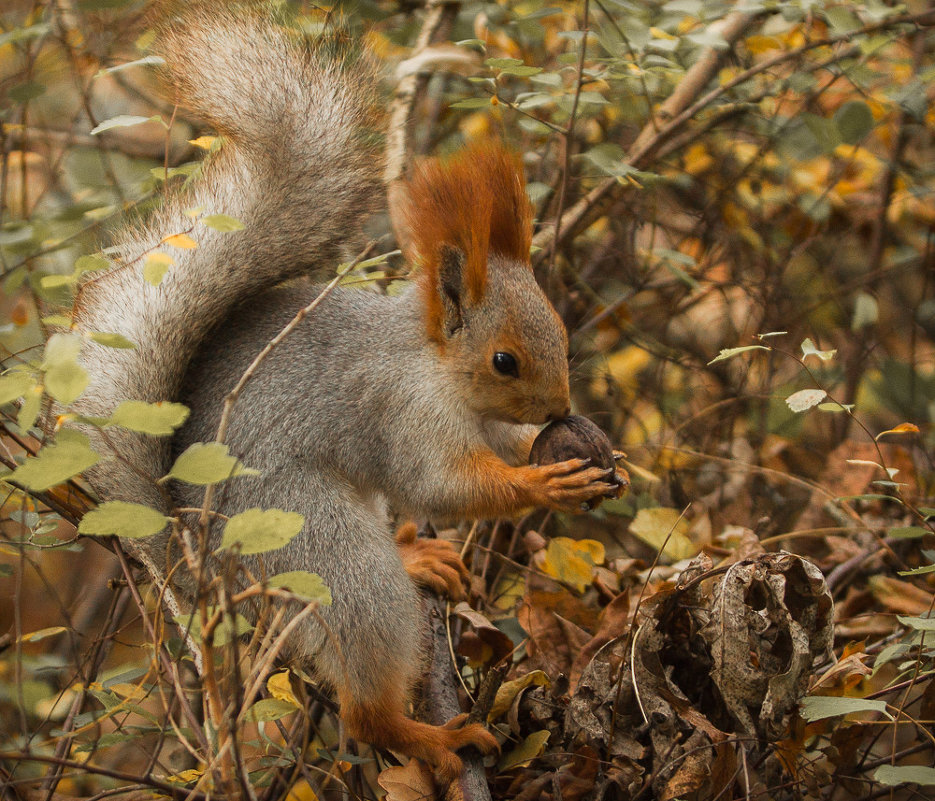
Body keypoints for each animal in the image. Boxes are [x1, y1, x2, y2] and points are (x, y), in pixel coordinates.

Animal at [71, 1, 620, 788]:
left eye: (562, 331)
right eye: (505, 360)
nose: (559, 412)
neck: (433, 364)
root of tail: (194, 558)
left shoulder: (480, 422)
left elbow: (497, 450)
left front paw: (593, 451)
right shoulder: (404, 411)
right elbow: (442, 485)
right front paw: (546, 481)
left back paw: (418, 561)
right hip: (316, 546)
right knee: (362, 693)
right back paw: (428, 737)